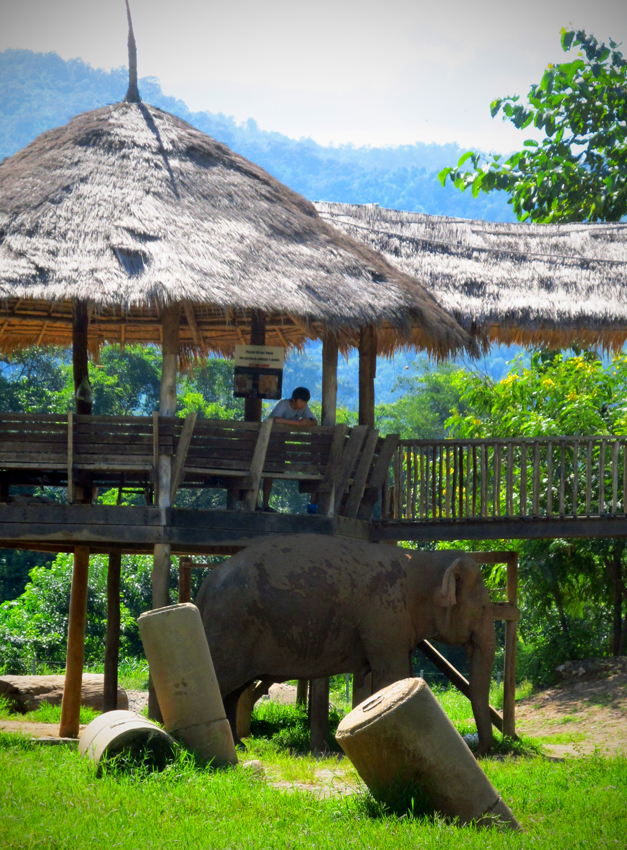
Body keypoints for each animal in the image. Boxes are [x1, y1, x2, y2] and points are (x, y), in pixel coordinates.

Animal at [195, 534, 497, 754]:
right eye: (484, 607)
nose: (480, 750)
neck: (423, 563)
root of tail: (206, 586)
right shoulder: (385, 615)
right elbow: (393, 674)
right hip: (229, 627)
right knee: (219, 681)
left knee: (233, 691)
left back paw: (239, 746)